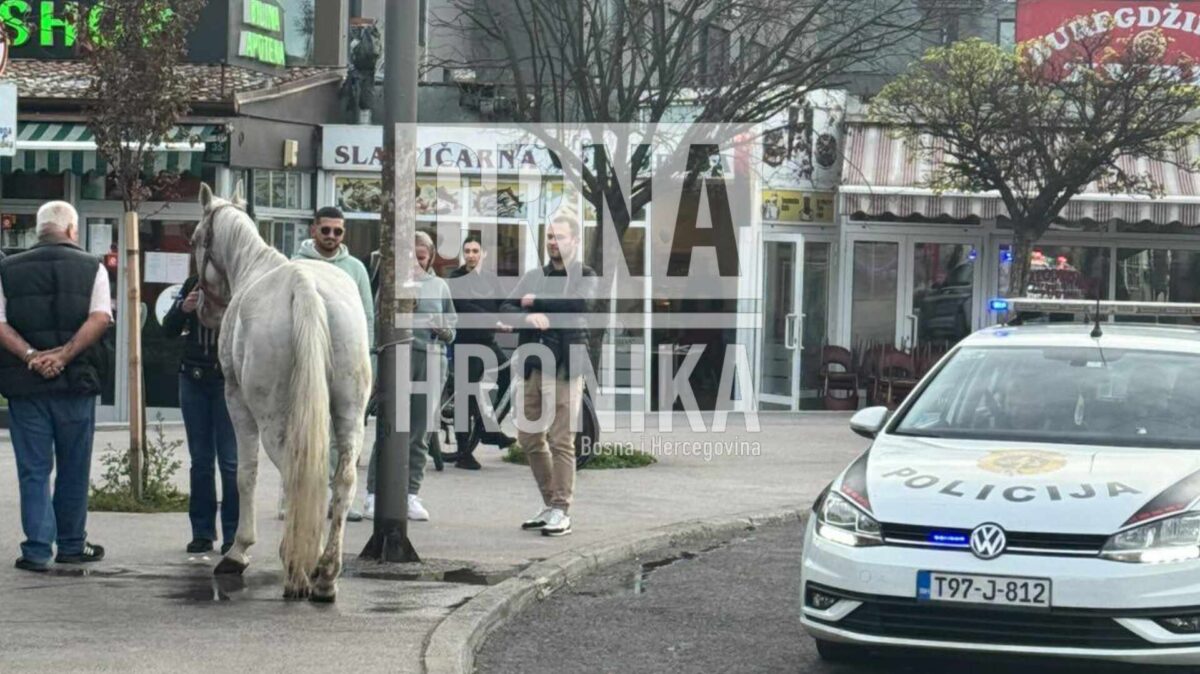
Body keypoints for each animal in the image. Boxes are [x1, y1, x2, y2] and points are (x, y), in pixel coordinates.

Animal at [189, 182, 369, 597]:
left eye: (193, 240)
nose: (202, 308)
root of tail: (304, 287)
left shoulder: (236, 401)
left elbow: (245, 472)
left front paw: (239, 550)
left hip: (271, 415)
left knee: (294, 471)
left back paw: (298, 563)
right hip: (349, 410)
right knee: (342, 477)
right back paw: (326, 571)